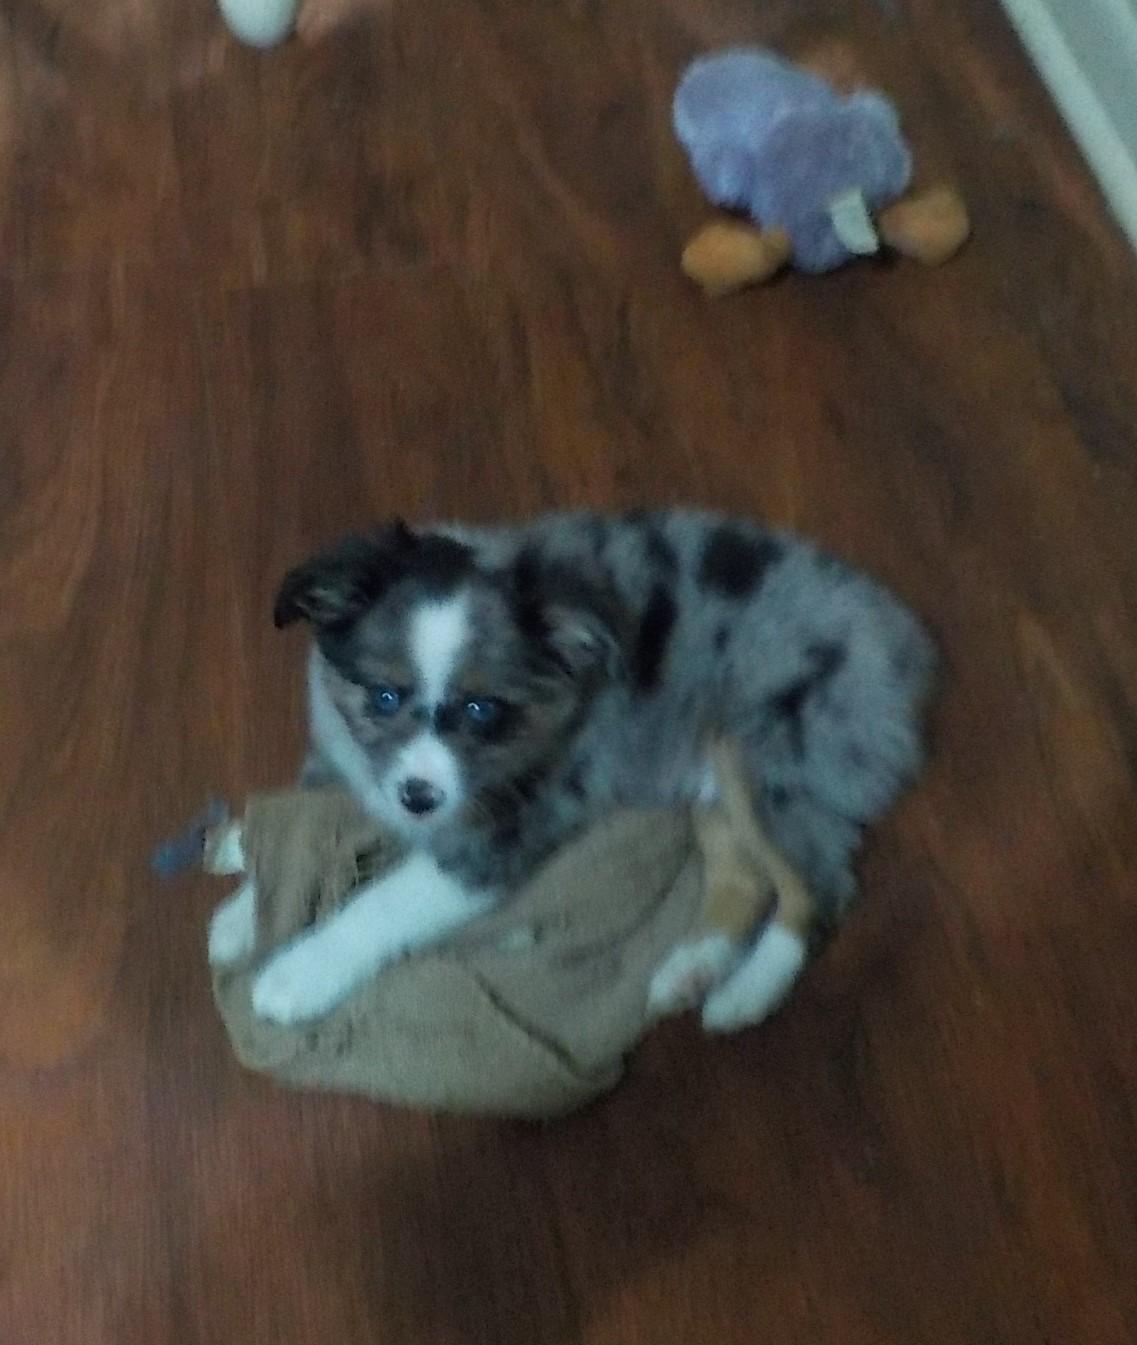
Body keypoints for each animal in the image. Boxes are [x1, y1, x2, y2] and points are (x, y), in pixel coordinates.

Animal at [208, 509, 934, 1031]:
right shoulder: (351, 761)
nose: (419, 798)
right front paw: (246, 914)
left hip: (767, 757)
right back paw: (690, 970)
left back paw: (746, 994)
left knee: (817, 888)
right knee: (745, 877)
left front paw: (296, 976)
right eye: (383, 696)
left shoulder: (499, 831)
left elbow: (382, 904)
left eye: (481, 709)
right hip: (711, 784)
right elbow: (289, 832)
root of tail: (896, 632)